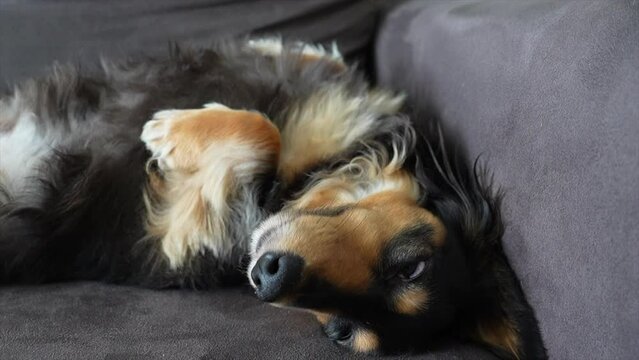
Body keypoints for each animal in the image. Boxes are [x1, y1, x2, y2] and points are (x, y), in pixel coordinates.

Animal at [0, 38, 548, 358]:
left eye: (341, 332)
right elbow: (287, 102)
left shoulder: (175, 224)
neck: (306, 178)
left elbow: (263, 137)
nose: (268, 277)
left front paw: (169, 131)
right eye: (410, 268)